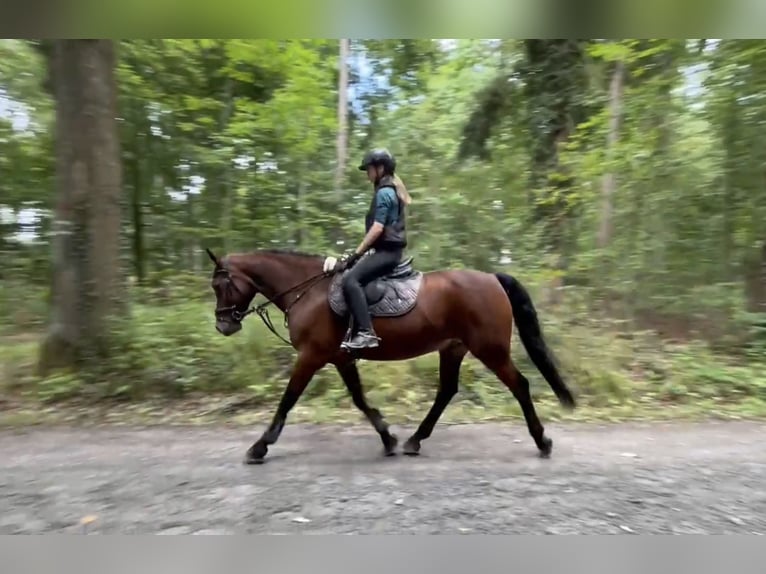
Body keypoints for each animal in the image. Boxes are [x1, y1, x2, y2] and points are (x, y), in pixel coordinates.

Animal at [205, 247, 575, 464]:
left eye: (220, 285)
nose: (223, 324)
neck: (307, 290)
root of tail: (492, 279)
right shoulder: (340, 358)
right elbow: (359, 399)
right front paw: (388, 438)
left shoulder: (311, 356)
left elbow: (287, 400)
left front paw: (260, 447)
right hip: (454, 348)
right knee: (447, 391)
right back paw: (414, 440)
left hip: (490, 349)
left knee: (520, 385)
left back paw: (543, 442)